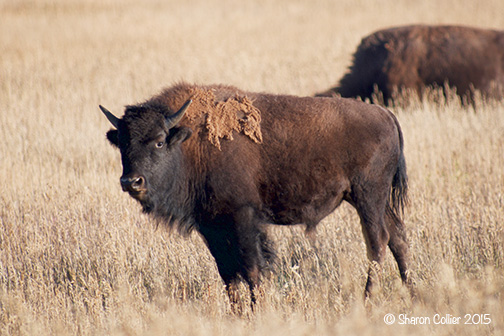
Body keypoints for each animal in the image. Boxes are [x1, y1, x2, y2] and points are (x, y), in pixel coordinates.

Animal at [101, 83, 410, 310]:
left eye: (159, 141)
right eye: (122, 144)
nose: (131, 181)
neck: (192, 144)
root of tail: (387, 116)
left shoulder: (243, 217)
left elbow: (251, 267)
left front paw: (257, 310)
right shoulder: (211, 226)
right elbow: (228, 273)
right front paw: (238, 313)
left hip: (368, 196)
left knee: (377, 241)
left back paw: (367, 300)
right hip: (372, 200)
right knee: (397, 238)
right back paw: (412, 290)